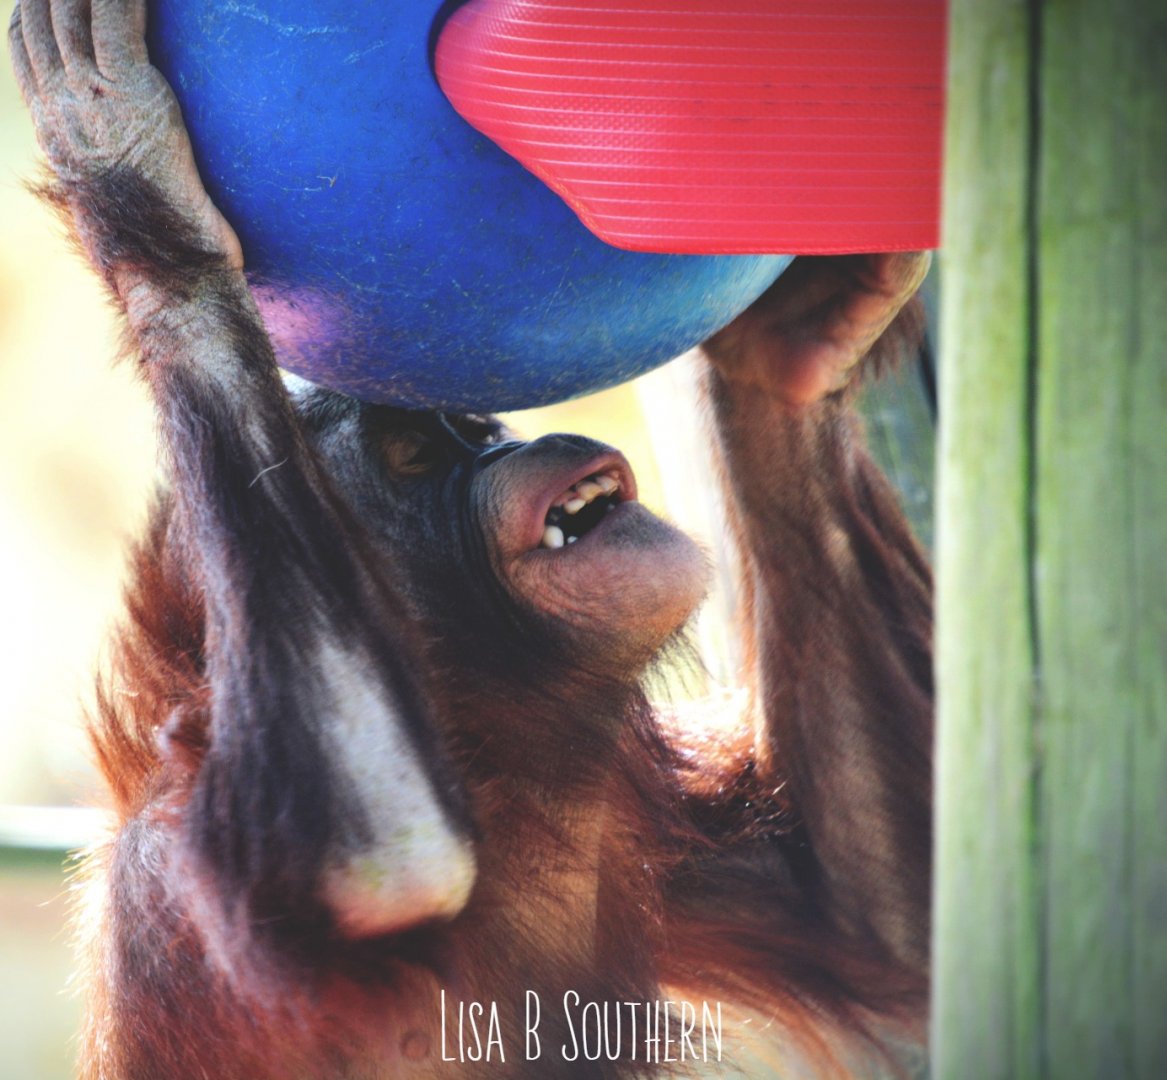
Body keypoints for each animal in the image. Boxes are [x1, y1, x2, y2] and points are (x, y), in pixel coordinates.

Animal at [9, 1, 933, 1077]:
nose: (515, 443)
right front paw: (149, 208)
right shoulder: (186, 867)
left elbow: (881, 911)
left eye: (468, 427)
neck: (486, 755)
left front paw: (787, 323)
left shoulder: (646, 834)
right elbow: (378, 863)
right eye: (413, 456)